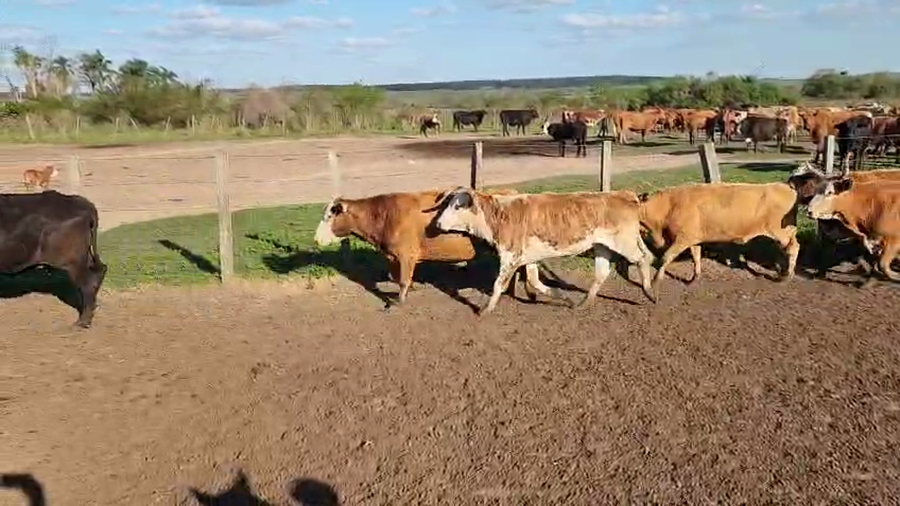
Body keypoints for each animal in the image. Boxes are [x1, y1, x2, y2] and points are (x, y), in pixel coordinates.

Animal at [313, 189, 552, 309]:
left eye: (329, 217)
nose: (316, 240)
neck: (384, 215)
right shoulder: (394, 257)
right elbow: (397, 277)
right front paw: (410, 290)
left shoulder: (406, 255)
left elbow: (402, 280)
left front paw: (399, 302)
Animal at [430, 187, 657, 315]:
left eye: (457, 206)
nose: (438, 223)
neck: (500, 214)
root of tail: (625, 195)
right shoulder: (529, 258)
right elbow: (535, 282)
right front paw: (563, 298)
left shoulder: (510, 256)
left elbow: (498, 285)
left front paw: (486, 309)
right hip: (602, 246)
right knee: (603, 272)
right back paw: (584, 303)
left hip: (623, 241)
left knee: (643, 258)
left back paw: (649, 292)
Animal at [638, 182, 800, 293]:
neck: (669, 205)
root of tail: (786, 187)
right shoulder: (693, 239)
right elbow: (696, 258)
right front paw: (694, 279)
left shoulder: (682, 239)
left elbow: (666, 257)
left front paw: (655, 281)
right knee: (784, 249)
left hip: (780, 231)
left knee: (793, 248)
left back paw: (787, 275)